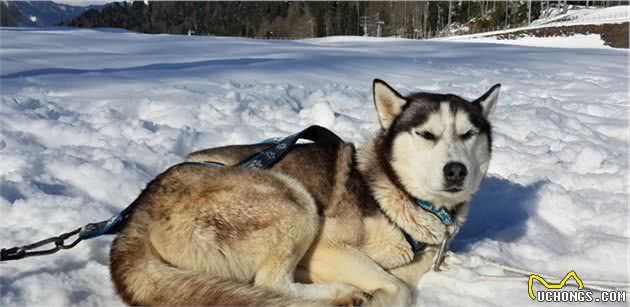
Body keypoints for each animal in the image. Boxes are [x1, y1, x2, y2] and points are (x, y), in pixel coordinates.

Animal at [110, 80, 504, 306]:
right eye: (426, 134)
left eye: (468, 134)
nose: (456, 170)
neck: (397, 193)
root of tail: (140, 209)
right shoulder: (326, 246)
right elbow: (399, 289)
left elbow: (415, 268)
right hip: (294, 201)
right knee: (271, 283)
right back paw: (339, 294)